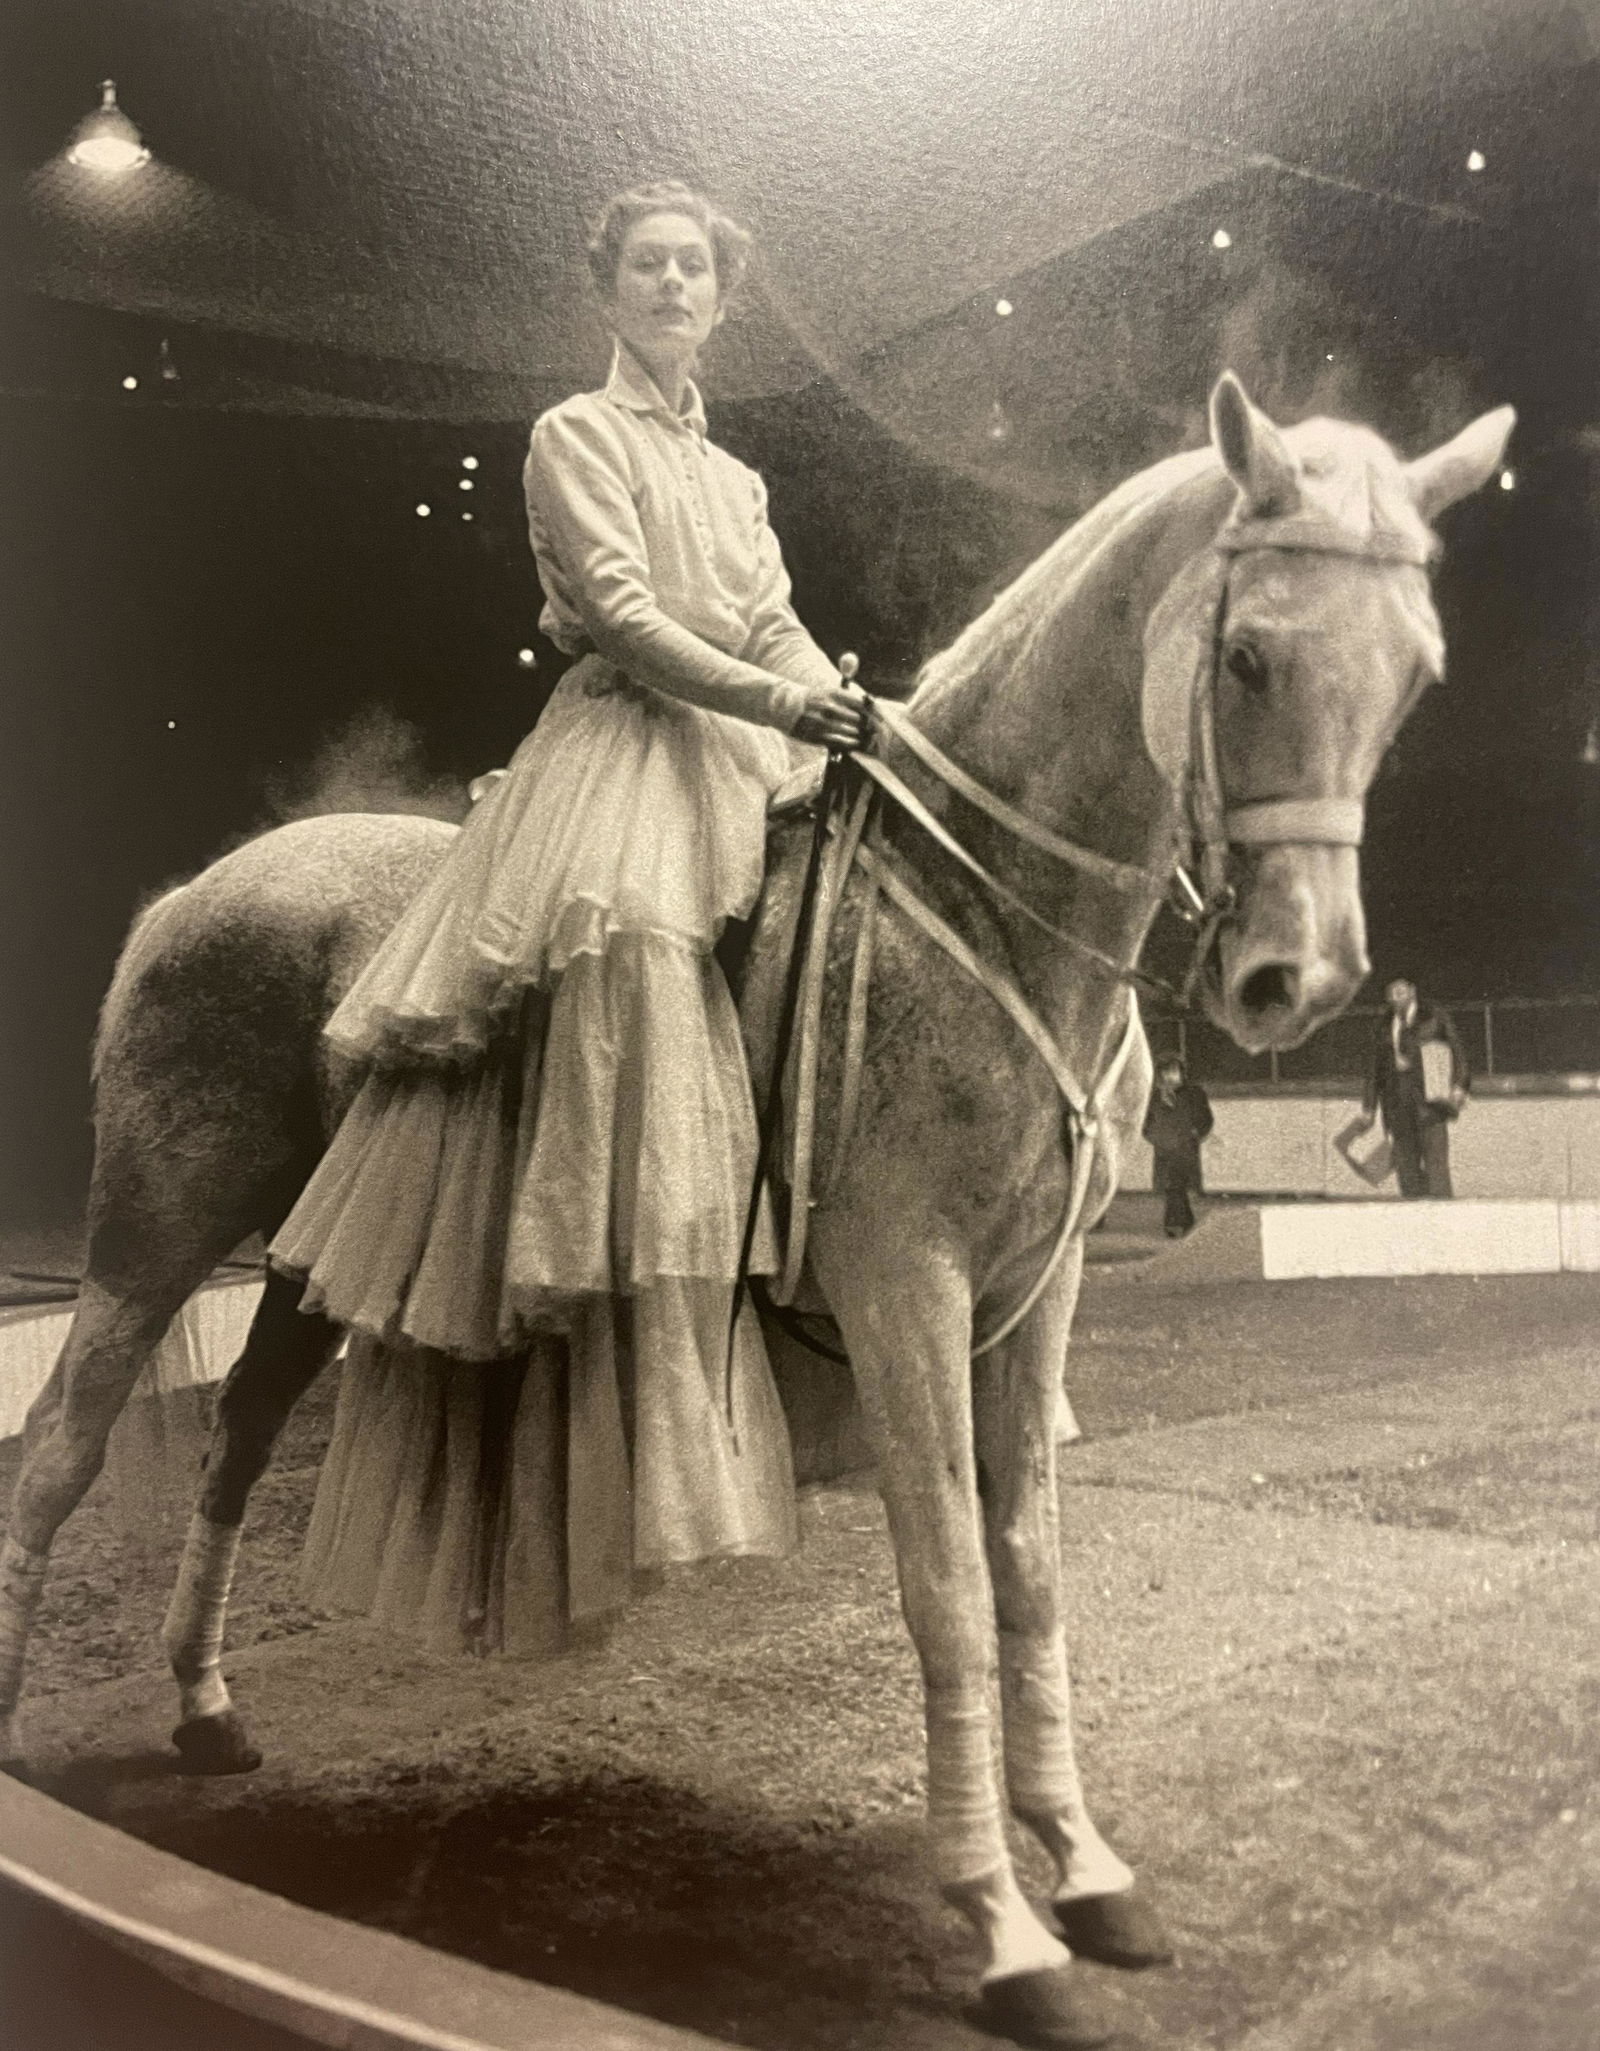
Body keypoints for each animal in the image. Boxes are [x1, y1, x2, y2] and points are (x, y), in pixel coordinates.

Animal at [0, 375, 1511, 2049]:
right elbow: (950, 1589)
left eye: (1416, 675)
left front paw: (1088, 1866)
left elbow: (1033, 1578)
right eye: (1249, 656)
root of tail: (194, 889)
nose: (1292, 981)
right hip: (157, 1226)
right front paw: (1003, 1924)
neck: (980, 908)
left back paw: (205, 1709)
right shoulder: (907, 1287)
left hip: (311, 1267)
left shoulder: (1036, 1298)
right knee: (61, 1447)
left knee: (239, 1432)